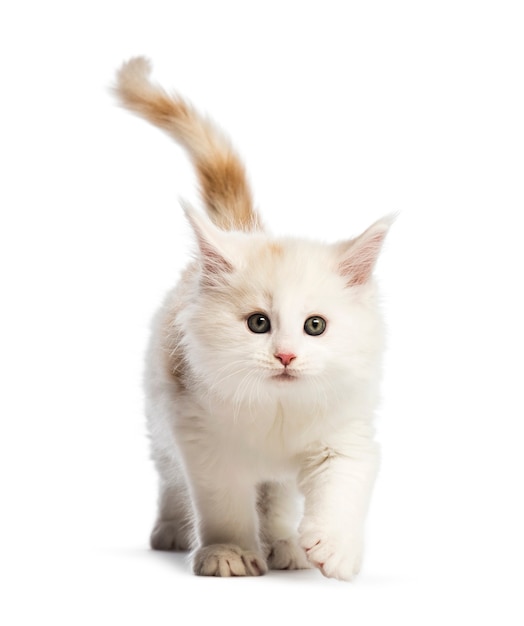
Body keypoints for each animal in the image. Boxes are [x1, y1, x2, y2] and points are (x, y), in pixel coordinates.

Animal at [113, 58, 392, 580]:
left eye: (315, 326)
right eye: (258, 323)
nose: (285, 356)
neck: (277, 411)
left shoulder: (345, 433)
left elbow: (342, 485)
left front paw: (333, 547)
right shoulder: (200, 435)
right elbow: (223, 504)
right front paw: (228, 552)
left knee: (277, 496)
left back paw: (285, 545)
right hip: (160, 419)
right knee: (170, 479)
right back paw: (172, 530)